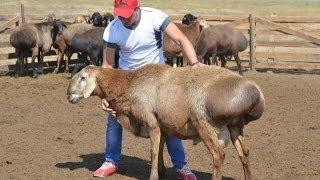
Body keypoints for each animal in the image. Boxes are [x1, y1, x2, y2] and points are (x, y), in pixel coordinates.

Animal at [67, 63, 264, 180]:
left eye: (83, 78)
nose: (69, 96)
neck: (128, 84)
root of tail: (256, 94)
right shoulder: (162, 125)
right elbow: (161, 147)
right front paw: (161, 171)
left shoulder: (151, 121)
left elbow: (153, 151)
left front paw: (153, 176)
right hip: (235, 127)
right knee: (244, 153)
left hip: (205, 123)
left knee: (218, 155)